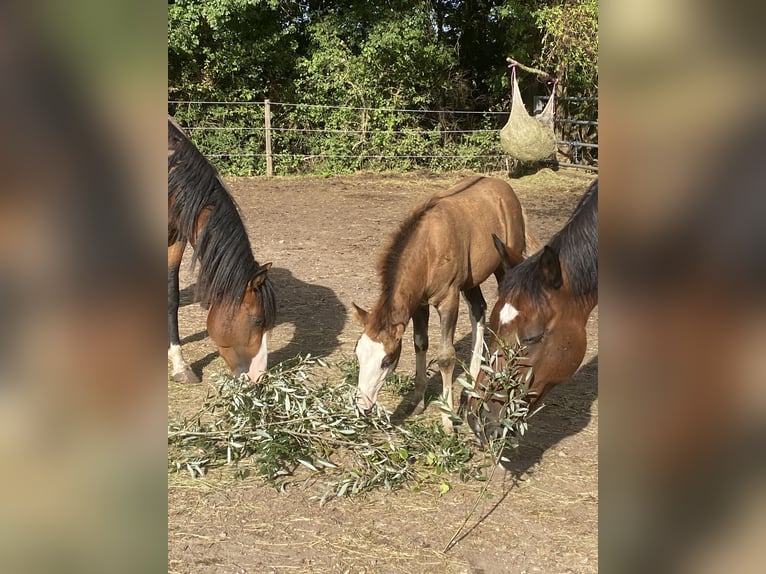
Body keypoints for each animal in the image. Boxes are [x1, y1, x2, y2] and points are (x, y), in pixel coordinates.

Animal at [352, 176, 531, 432]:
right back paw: (471, 384)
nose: (363, 406)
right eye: (357, 354)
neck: (429, 249)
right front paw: (417, 401)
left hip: (504, 264)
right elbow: (420, 343)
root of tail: (504, 187)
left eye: (387, 361)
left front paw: (447, 420)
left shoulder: (448, 300)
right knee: (478, 310)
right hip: (471, 280)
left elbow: (446, 356)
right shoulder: (419, 304)